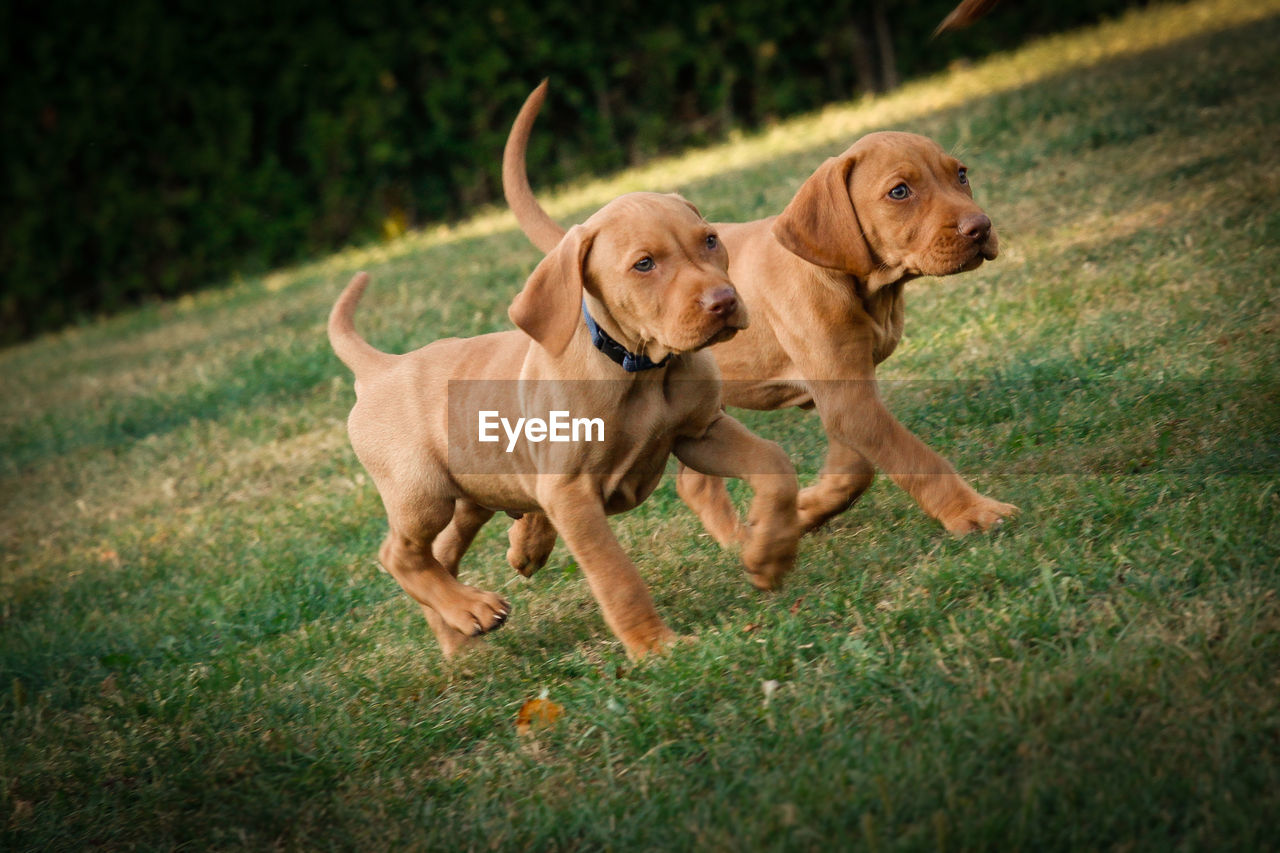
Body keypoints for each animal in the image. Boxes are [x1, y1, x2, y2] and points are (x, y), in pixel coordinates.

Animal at [327, 192, 798, 655]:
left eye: (711, 241)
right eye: (644, 264)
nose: (724, 302)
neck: (640, 369)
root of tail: (381, 367)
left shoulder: (700, 433)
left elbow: (774, 463)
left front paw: (767, 556)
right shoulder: (571, 492)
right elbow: (615, 574)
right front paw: (654, 647)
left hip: (473, 495)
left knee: (440, 555)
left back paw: (462, 639)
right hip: (424, 494)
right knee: (399, 554)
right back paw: (473, 610)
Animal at [504, 81, 1013, 545]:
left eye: (961, 175)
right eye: (900, 192)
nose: (981, 227)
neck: (859, 285)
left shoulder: (844, 395)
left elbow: (855, 467)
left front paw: (806, 508)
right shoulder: (849, 399)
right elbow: (913, 457)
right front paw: (972, 511)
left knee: (694, 483)